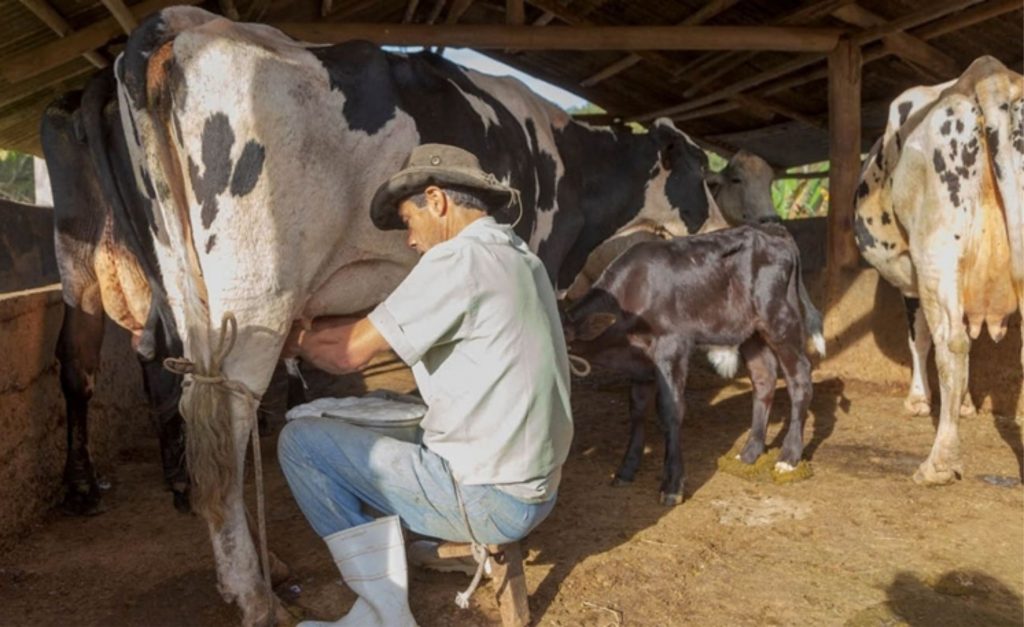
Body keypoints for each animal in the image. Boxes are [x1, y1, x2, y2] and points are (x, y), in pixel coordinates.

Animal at [75, 7, 724, 622]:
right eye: (701, 171)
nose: (721, 230)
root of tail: (187, 23)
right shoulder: (538, 245)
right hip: (253, 295)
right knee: (225, 432)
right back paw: (254, 596)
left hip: (189, 293)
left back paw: (269, 567)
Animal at [561, 224, 823, 504]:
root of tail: (773, 229)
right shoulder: (640, 362)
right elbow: (637, 411)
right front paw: (626, 469)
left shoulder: (672, 347)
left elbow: (670, 411)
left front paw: (672, 485)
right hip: (750, 332)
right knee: (764, 378)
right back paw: (749, 452)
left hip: (780, 320)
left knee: (800, 377)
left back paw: (789, 458)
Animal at [856, 55, 1024, 485]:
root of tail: (990, 75)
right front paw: (964, 405)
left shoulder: (913, 279)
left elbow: (919, 338)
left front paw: (918, 400)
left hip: (936, 250)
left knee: (951, 343)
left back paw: (939, 463)